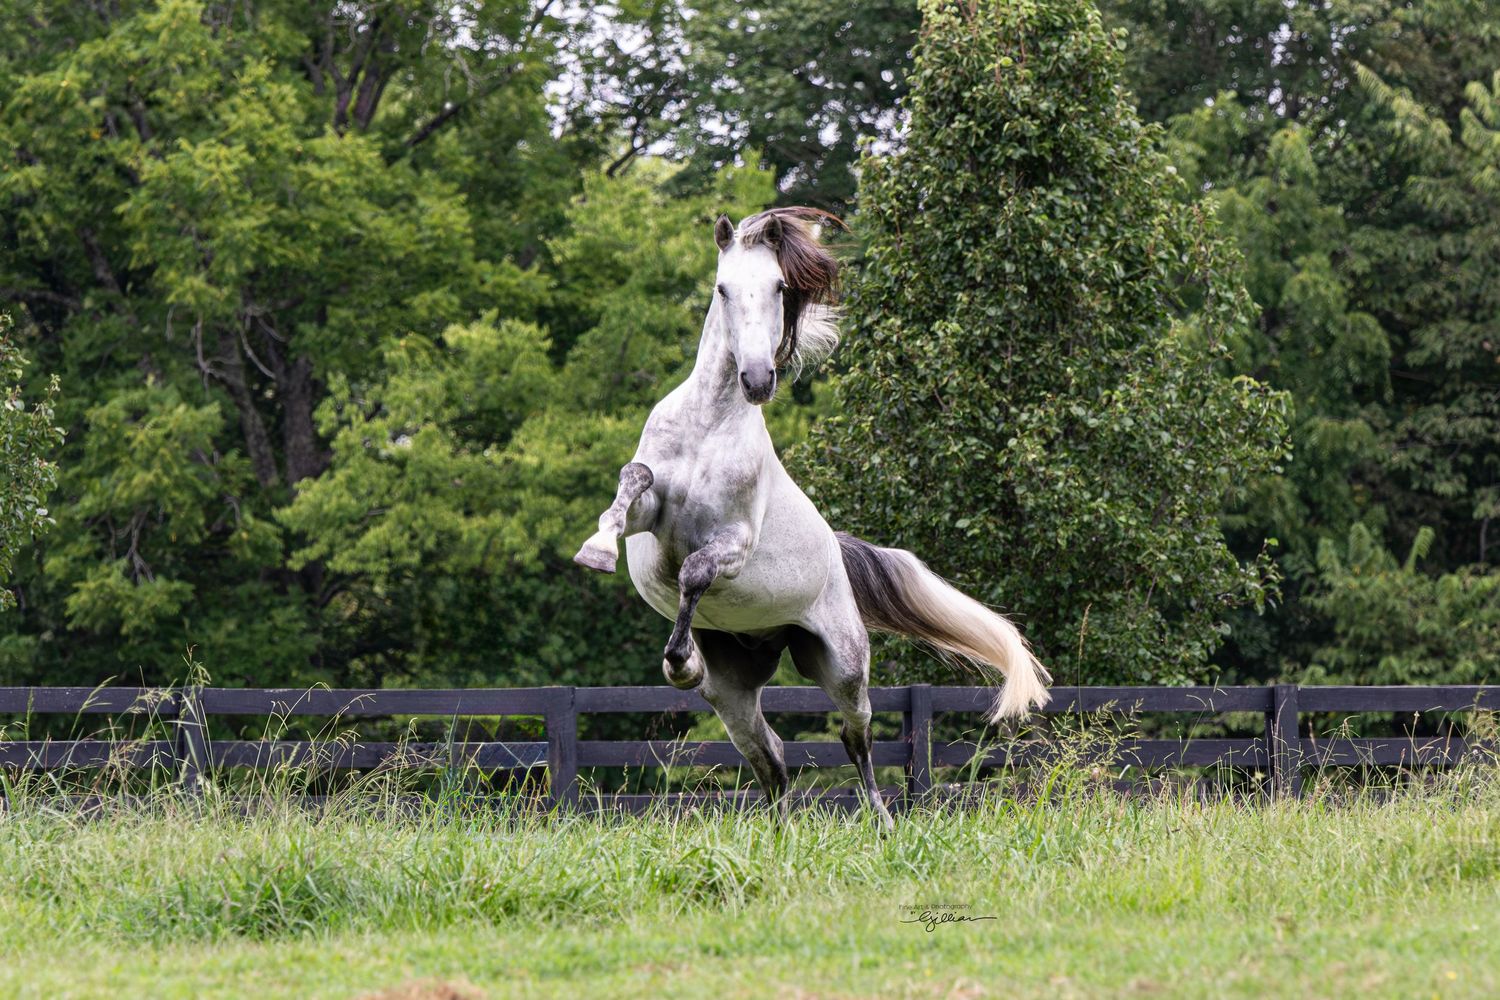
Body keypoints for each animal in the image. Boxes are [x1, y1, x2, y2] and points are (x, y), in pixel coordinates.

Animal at [573, 207, 1051, 824]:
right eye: (722, 288)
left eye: (779, 287)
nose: (756, 380)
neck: (709, 425)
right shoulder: (651, 519)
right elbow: (634, 481)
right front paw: (595, 552)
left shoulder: (736, 541)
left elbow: (695, 571)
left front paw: (680, 662)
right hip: (734, 691)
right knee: (771, 756)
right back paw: (779, 828)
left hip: (842, 664)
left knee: (856, 736)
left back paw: (882, 821)